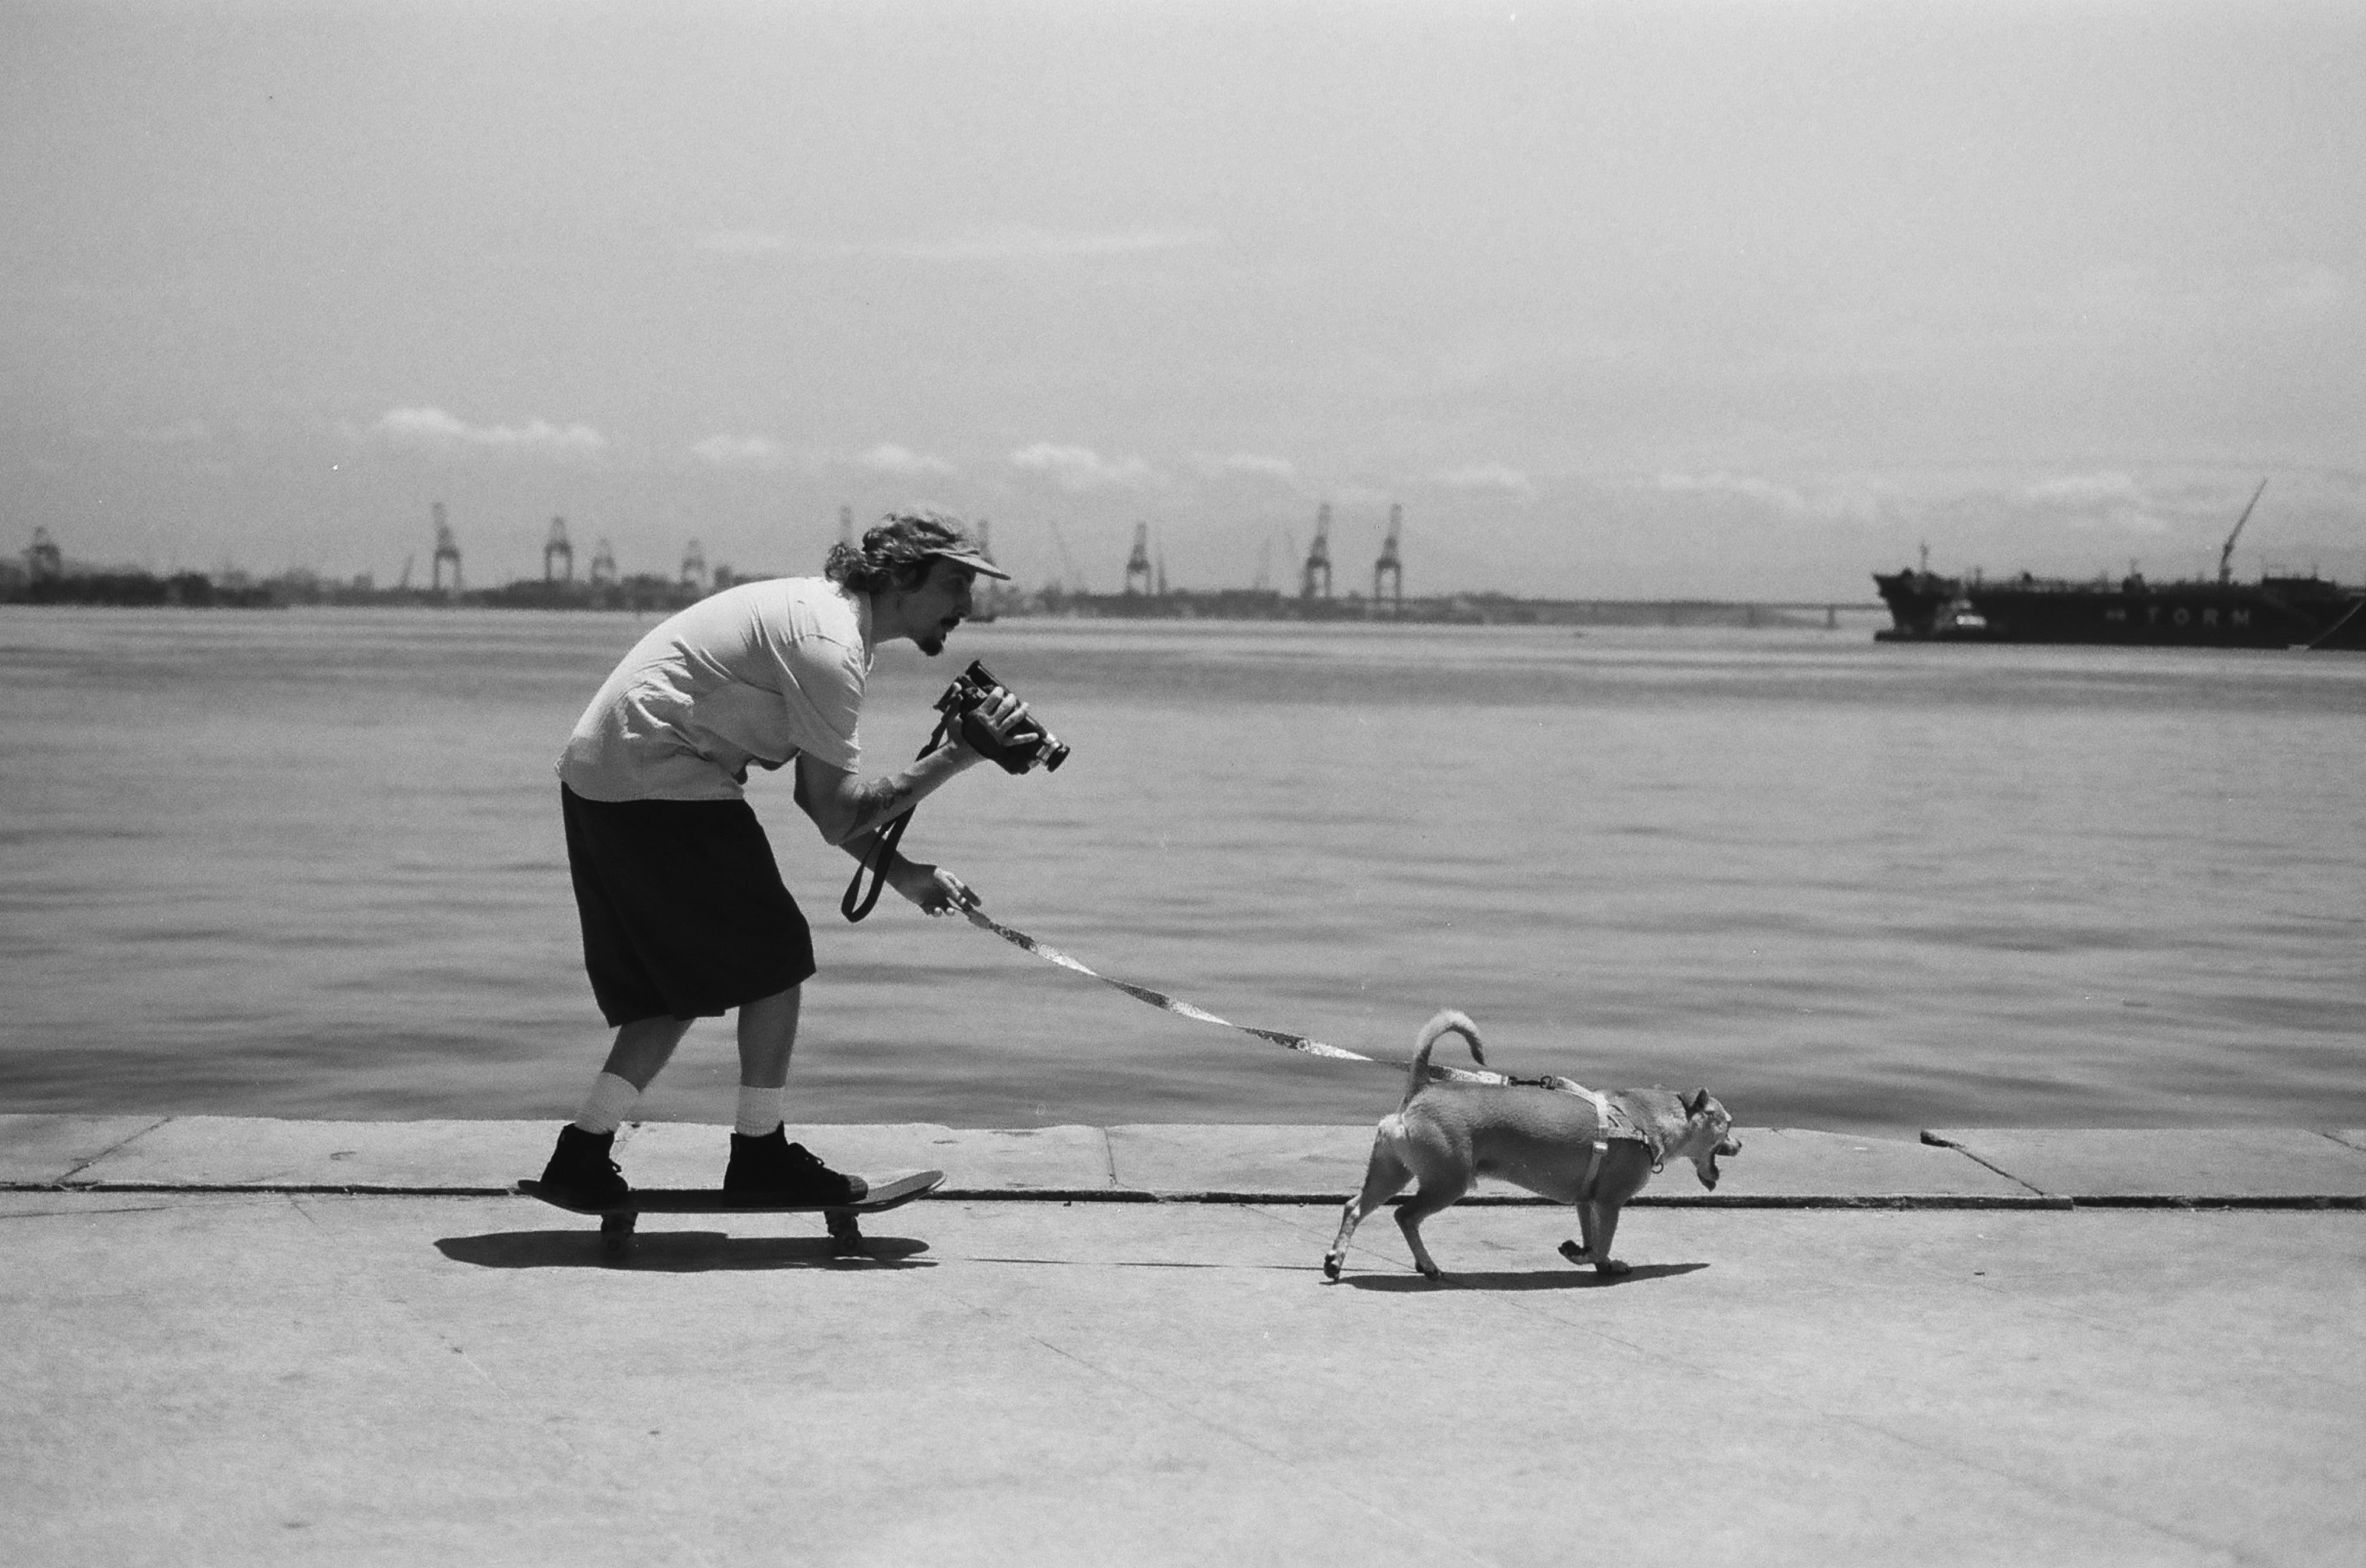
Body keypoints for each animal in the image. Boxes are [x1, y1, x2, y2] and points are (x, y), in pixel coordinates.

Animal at [1323, 1009, 1741, 1281]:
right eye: (1728, 1123)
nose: (1739, 1143)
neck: (1642, 1119)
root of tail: (1422, 1089)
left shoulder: (1587, 1201)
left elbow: (1593, 1235)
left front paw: (1598, 1262)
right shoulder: (1610, 1201)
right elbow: (1601, 1241)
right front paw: (1587, 1257)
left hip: (1392, 1171)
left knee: (1355, 1208)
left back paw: (1337, 1260)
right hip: (1448, 1182)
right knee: (1405, 1216)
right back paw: (1426, 1264)